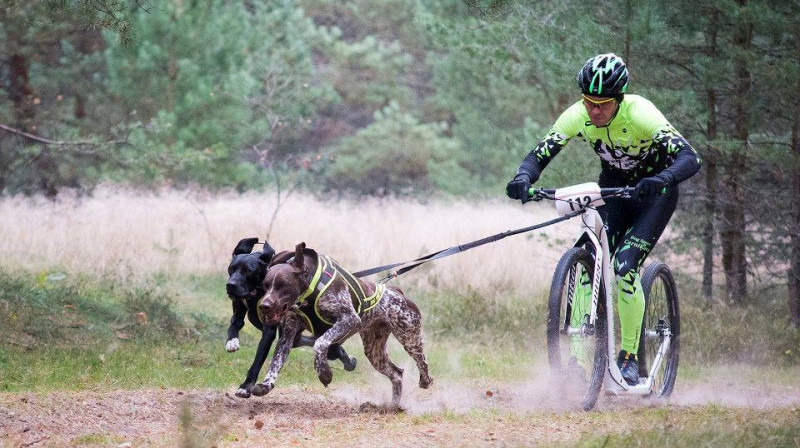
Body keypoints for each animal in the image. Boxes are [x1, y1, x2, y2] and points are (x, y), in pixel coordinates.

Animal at [225, 236, 356, 398]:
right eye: (231, 268)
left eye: (248, 271)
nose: (230, 285)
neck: (256, 292)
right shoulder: (239, 307)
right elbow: (235, 323)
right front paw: (232, 341)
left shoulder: (269, 331)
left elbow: (257, 361)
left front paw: (246, 386)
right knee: (304, 341)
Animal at [252, 242, 434, 406]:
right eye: (265, 285)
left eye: (284, 284)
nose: (264, 306)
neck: (308, 293)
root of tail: (398, 292)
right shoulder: (288, 336)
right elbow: (276, 362)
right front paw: (266, 384)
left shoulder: (349, 319)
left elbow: (320, 343)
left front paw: (324, 373)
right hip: (374, 352)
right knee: (396, 374)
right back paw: (392, 407)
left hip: (410, 338)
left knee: (422, 361)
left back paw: (425, 380)